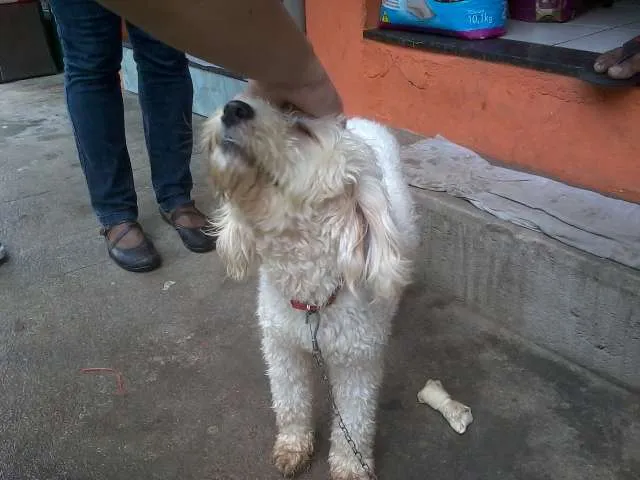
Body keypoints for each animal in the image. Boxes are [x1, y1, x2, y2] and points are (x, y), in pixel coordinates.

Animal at [202, 97, 418, 480]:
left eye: (302, 129)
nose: (234, 107)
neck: (311, 293)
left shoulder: (358, 363)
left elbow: (355, 418)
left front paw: (350, 465)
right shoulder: (281, 347)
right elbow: (290, 402)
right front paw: (293, 446)